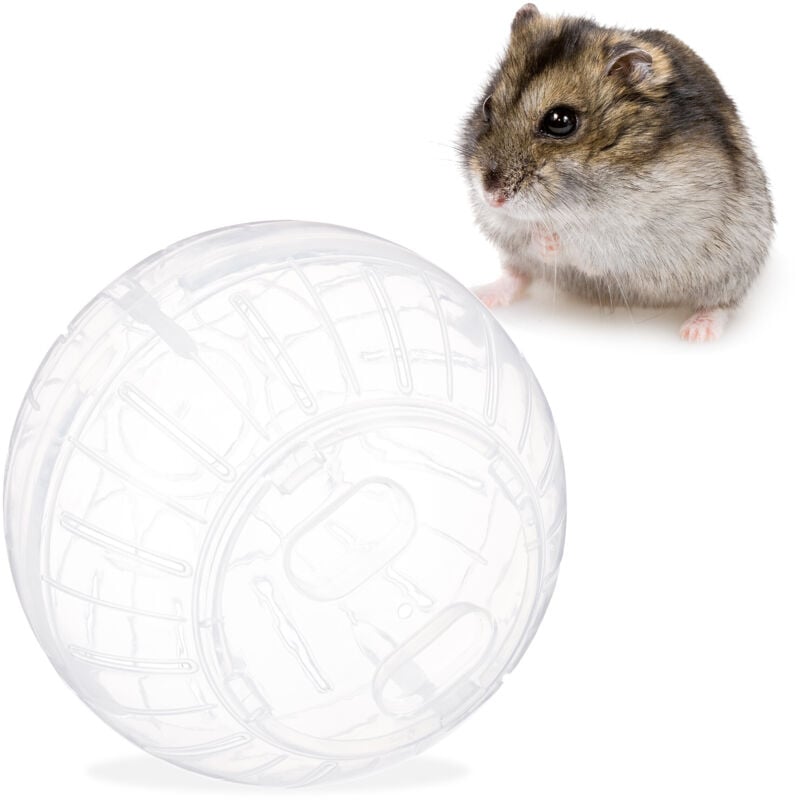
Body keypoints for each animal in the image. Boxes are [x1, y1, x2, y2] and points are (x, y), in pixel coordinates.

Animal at [460, 5, 774, 341]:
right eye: (487, 106)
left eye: (560, 121)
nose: (492, 196)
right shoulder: (496, 220)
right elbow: (518, 231)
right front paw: (536, 232)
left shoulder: (631, 233)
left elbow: (577, 241)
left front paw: (549, 237)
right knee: (518, 275)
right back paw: (482, 295)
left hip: (732, 268)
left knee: (723, 304)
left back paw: (697, 333)